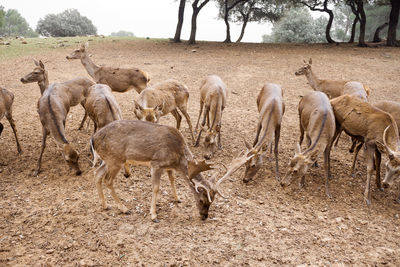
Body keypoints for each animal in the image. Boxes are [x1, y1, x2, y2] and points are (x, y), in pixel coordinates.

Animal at [90, 120, 238, 223]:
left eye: (212, 201)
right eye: (202, 200)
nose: (204, 216)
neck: (178, 159)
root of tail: (93, 139)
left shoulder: (168, 167)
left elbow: (172, 179)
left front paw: (177, 198)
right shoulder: (157, 164)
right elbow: (156, 188)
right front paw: (154, 215)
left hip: (107, 160)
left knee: (97, 174)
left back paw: (105, 205)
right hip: (115, 159)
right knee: (108, 180)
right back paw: (124, 209)